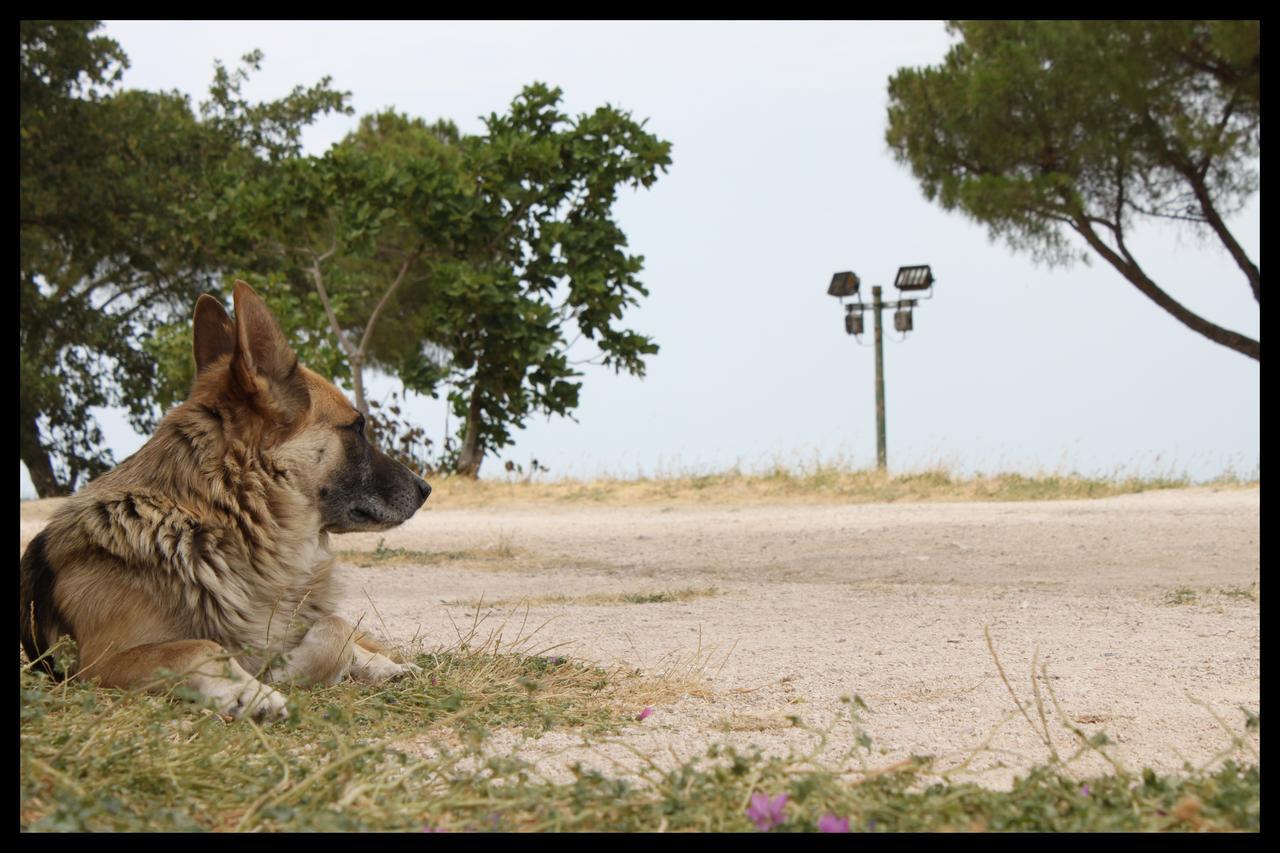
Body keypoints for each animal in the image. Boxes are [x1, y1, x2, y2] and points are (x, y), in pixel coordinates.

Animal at [20, 279, 432, 717]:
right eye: (356, 428)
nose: (426, 489)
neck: (223, 520)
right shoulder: (100, 663)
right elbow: (199, 647)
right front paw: (256, 689)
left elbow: (336, 628)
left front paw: (288, 668)